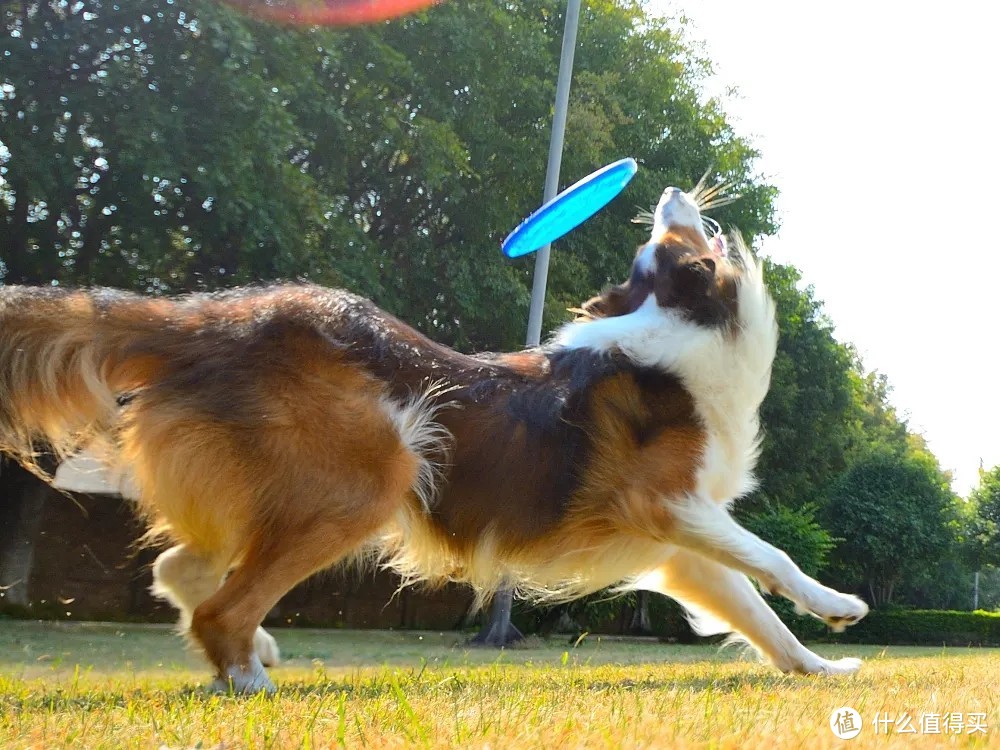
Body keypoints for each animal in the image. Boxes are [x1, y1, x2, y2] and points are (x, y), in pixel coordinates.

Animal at [0, 187, 868, 692]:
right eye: (663, 243)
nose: (663, 190)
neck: (678, 332)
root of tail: (209, 321)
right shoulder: (661, 502)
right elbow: (772, 558)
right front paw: (840, 605)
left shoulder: (679, 543)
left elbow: (755, 611)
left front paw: (819, 663)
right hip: (369, 478)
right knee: (218, 602)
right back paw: (247, 675)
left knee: (180, 569)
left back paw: (256, 652)